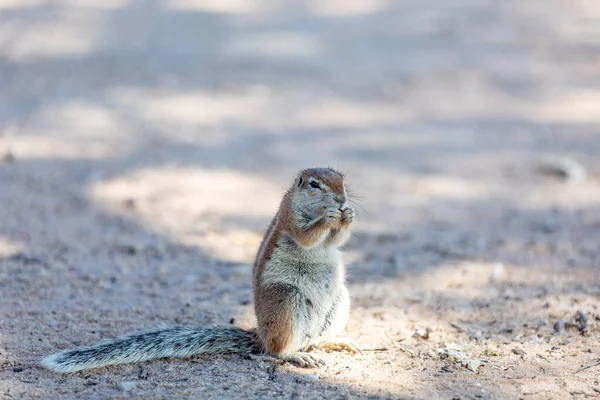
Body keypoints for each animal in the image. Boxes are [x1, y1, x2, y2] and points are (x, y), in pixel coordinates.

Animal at [43, 167, 360, 374]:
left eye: (343, 180)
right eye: (315, 184)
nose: (342, 200)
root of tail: (259, 335)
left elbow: (337, 240)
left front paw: (348, 216)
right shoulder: (290, 219)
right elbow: (307, 236)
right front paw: (329, 218)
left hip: (340, 302)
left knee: (312, 341)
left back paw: (334, 343)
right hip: (285, 300)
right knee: (276, 351)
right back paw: (297, 357)